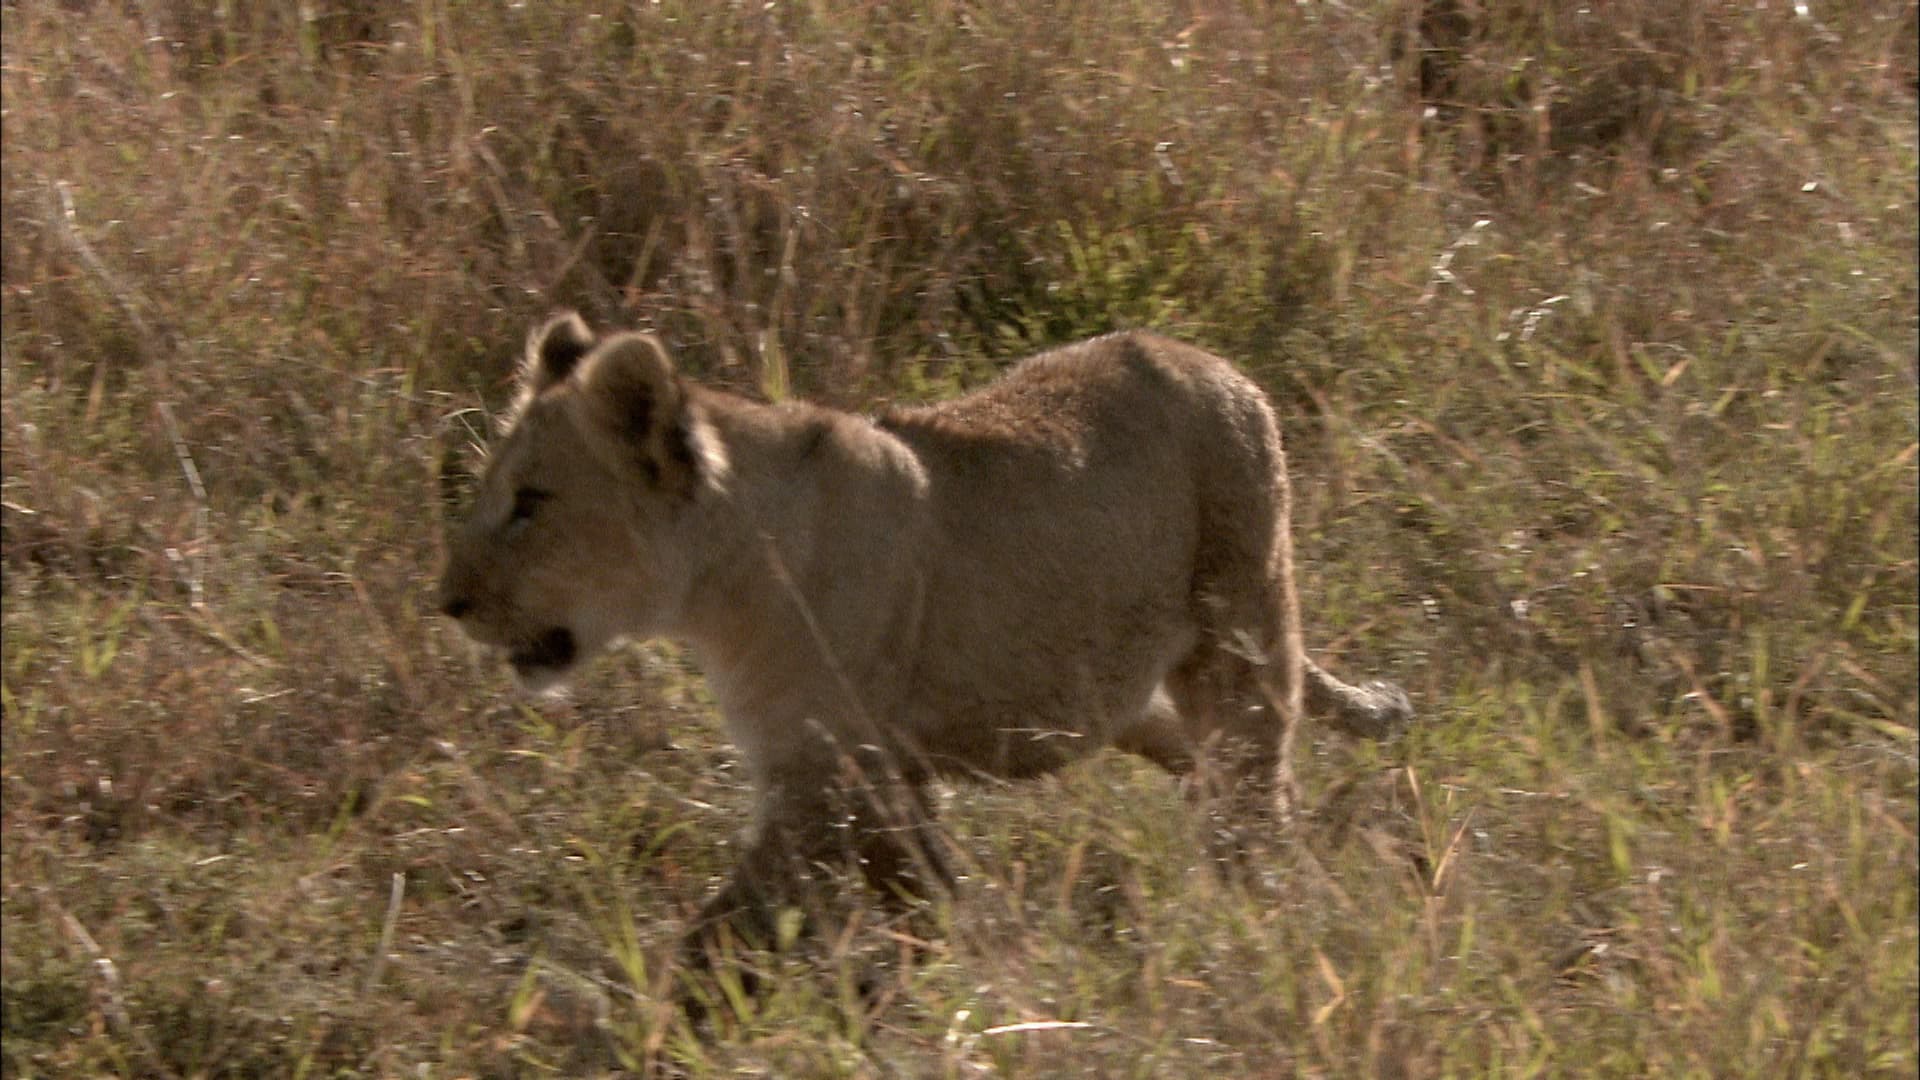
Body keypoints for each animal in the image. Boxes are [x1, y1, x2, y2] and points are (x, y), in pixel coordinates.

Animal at [438, 313, 1412, 956]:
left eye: (530, 503)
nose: (448, 602)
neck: (725, 574)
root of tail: (1218, 363)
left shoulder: (822, 777)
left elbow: (724, 930)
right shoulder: (875, 773)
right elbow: (917, 886)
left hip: (1243, 628)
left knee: (1255, 786)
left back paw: (1267, 894)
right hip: (1111, 680)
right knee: (1193, 752)